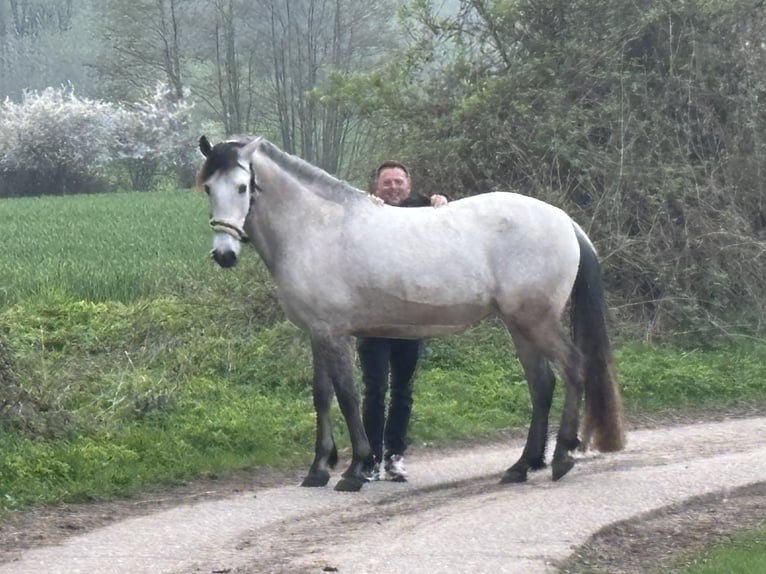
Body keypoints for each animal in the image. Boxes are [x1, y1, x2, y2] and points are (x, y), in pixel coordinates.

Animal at [196, 134, 625, 492]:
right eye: (208, 188)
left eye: (243, 186)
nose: (224, 254)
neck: (314, 227)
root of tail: (564, 221)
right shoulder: (317, 333)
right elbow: (322, 396)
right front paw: (318, 469)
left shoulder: (333, 333)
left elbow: (348, 396)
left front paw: (355, 470)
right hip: (520, 325)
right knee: (541, 384)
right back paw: (522, 466)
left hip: (537, 321)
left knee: (573, 368)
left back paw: (562, 457)